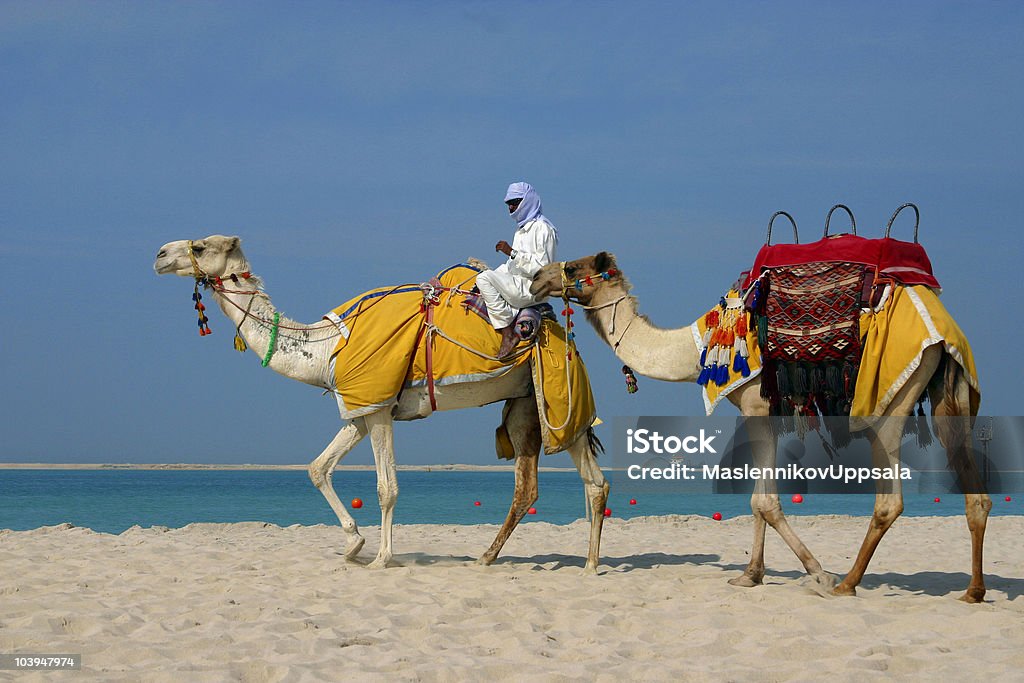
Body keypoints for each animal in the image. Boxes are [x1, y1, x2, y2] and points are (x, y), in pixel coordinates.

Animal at [151, 235, 606, 573]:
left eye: (198, 247)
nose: (159, 255)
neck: (325, 349)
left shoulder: (380, 407)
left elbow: (387, 486)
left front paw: (382, 558)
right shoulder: (359, 410)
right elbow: (318, 468)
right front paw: (354, 544)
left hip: (558, 396)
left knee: (589, 479)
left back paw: (588, 564)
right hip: (528, 403)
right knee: (533, 487)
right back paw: (494, 557)